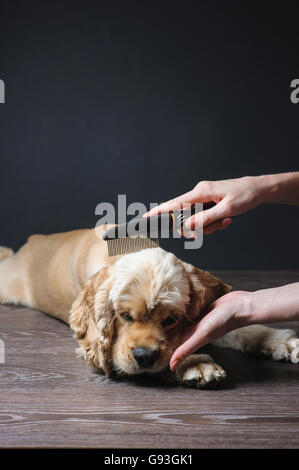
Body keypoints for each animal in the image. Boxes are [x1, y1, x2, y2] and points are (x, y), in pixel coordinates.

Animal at [0, 226, 298, 388]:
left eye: (171, 319)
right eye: (123, 315)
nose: (144, 357)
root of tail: (36, 239)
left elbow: (236, 329)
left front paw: (282, 341)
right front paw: (196, 363)